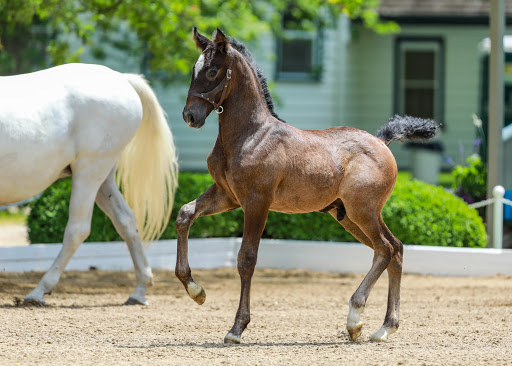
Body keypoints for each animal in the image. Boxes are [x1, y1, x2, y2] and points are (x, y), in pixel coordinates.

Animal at [0, 63, 179, 306]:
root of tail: (123, 79)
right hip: (104, 179)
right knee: (126, 220)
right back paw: (139, 291)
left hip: (89, 170)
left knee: (77, 230)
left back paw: (39, 292)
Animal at [176, 27, 436, 344]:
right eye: (193, 69)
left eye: (213, 70)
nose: (190, 116)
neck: (250, 135)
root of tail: (381, 141)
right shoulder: (227, 195)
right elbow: (185, 214)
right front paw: (196, 291)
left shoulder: (257, 201)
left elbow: (246, 259)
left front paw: (237, 328)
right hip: (349, 216)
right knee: (394, 248)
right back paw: (384, 327)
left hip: (362, 210)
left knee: (385, 249)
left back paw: (355, 318)